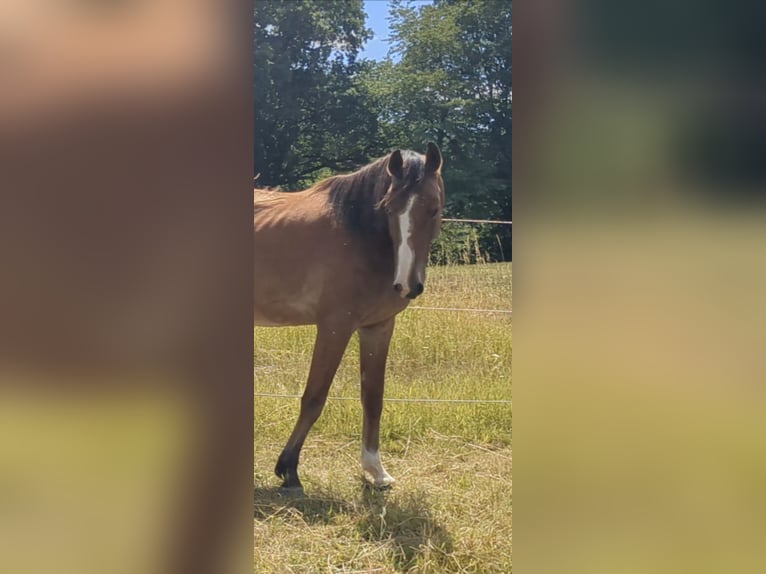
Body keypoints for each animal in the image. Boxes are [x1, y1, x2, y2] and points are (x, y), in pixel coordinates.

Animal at [254, 143, 445, 491]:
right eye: (389, 208)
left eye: (434, 209)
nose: (406, 285)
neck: (358, 234)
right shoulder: (335, 327)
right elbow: (314, 397)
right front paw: (289, 469)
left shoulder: (377, 327)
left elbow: (373, 397)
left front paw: (376, 471)